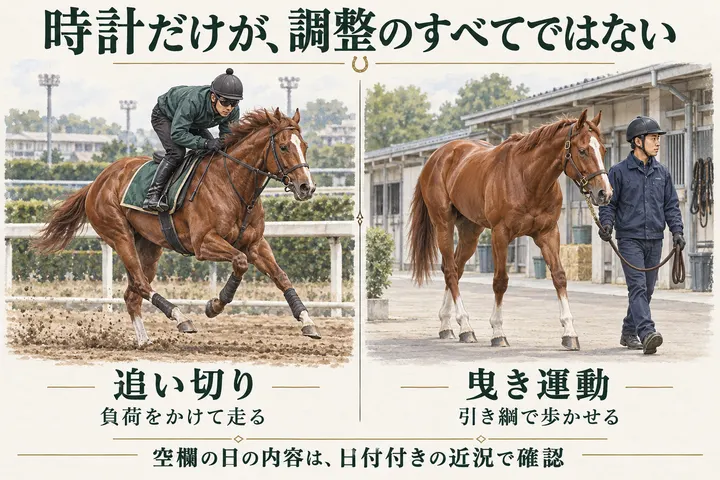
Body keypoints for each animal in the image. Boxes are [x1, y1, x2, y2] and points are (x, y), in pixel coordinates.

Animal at [33, 107, 321, 347]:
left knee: (132, 294)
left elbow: (281, 277)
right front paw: (214, 305)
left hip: (149, 245)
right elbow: (239, 262)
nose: (306, 187)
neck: (234, 186)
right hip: (119, 234)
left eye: (305, 145)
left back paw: (144, 341)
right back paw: (181, 317)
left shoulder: (256, 244)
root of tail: (97, 182)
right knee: (140, 284)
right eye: (283, 147)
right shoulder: (203, 243)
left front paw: (307, 321)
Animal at [408, 109, 612, 350]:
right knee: (450, 270)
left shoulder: (548, 233)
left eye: (603, 149)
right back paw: (466, 327)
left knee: (456, 270)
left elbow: (559, 277)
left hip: (470, 231)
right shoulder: (500, 234)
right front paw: (498, 332)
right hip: (444, 225)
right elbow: (500, 281)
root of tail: (436, 158)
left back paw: (447, 325)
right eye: (582, 150)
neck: (527, 178)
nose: (604, 193)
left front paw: (570, 333)